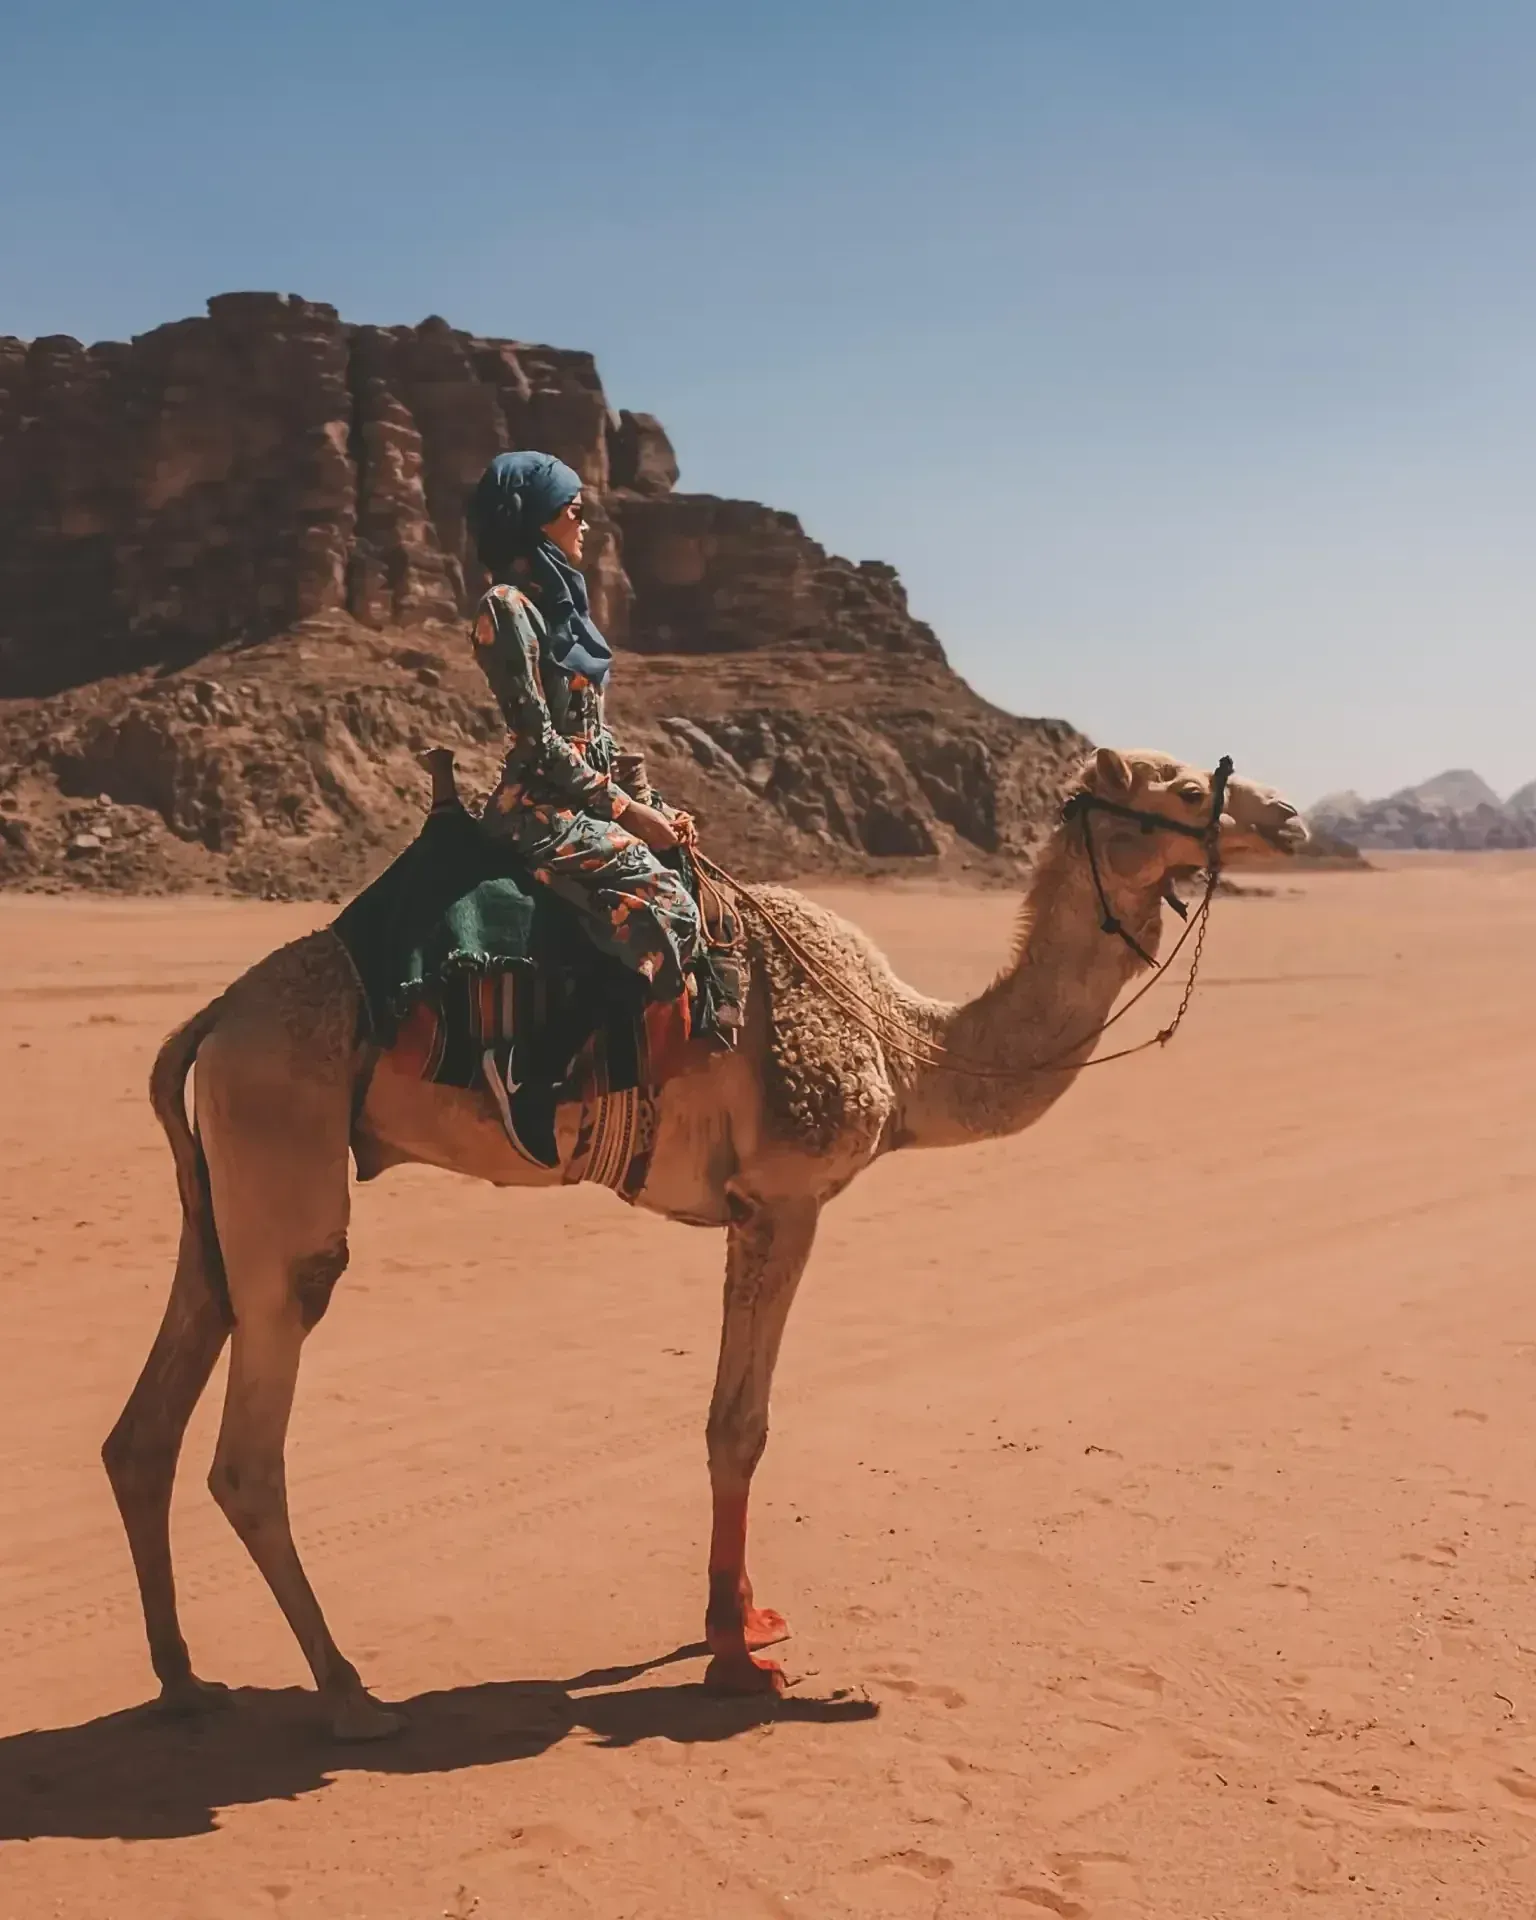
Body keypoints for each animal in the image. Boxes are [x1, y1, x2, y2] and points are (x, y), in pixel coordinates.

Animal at [102, 746, 1304, 1740]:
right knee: (249, 1450)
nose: (1289, 817)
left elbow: (735, 1423)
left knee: (148, 1424)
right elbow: (740, 1428)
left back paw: (183, 1680)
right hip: (285, 1156)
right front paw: (739, 1660)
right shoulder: (786, 1196)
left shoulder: (751, 1207)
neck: (904, 1044)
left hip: (221, 1196)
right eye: (1182, 788)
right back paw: (351, 1699)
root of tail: (213, 1017)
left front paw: (748, 1621)